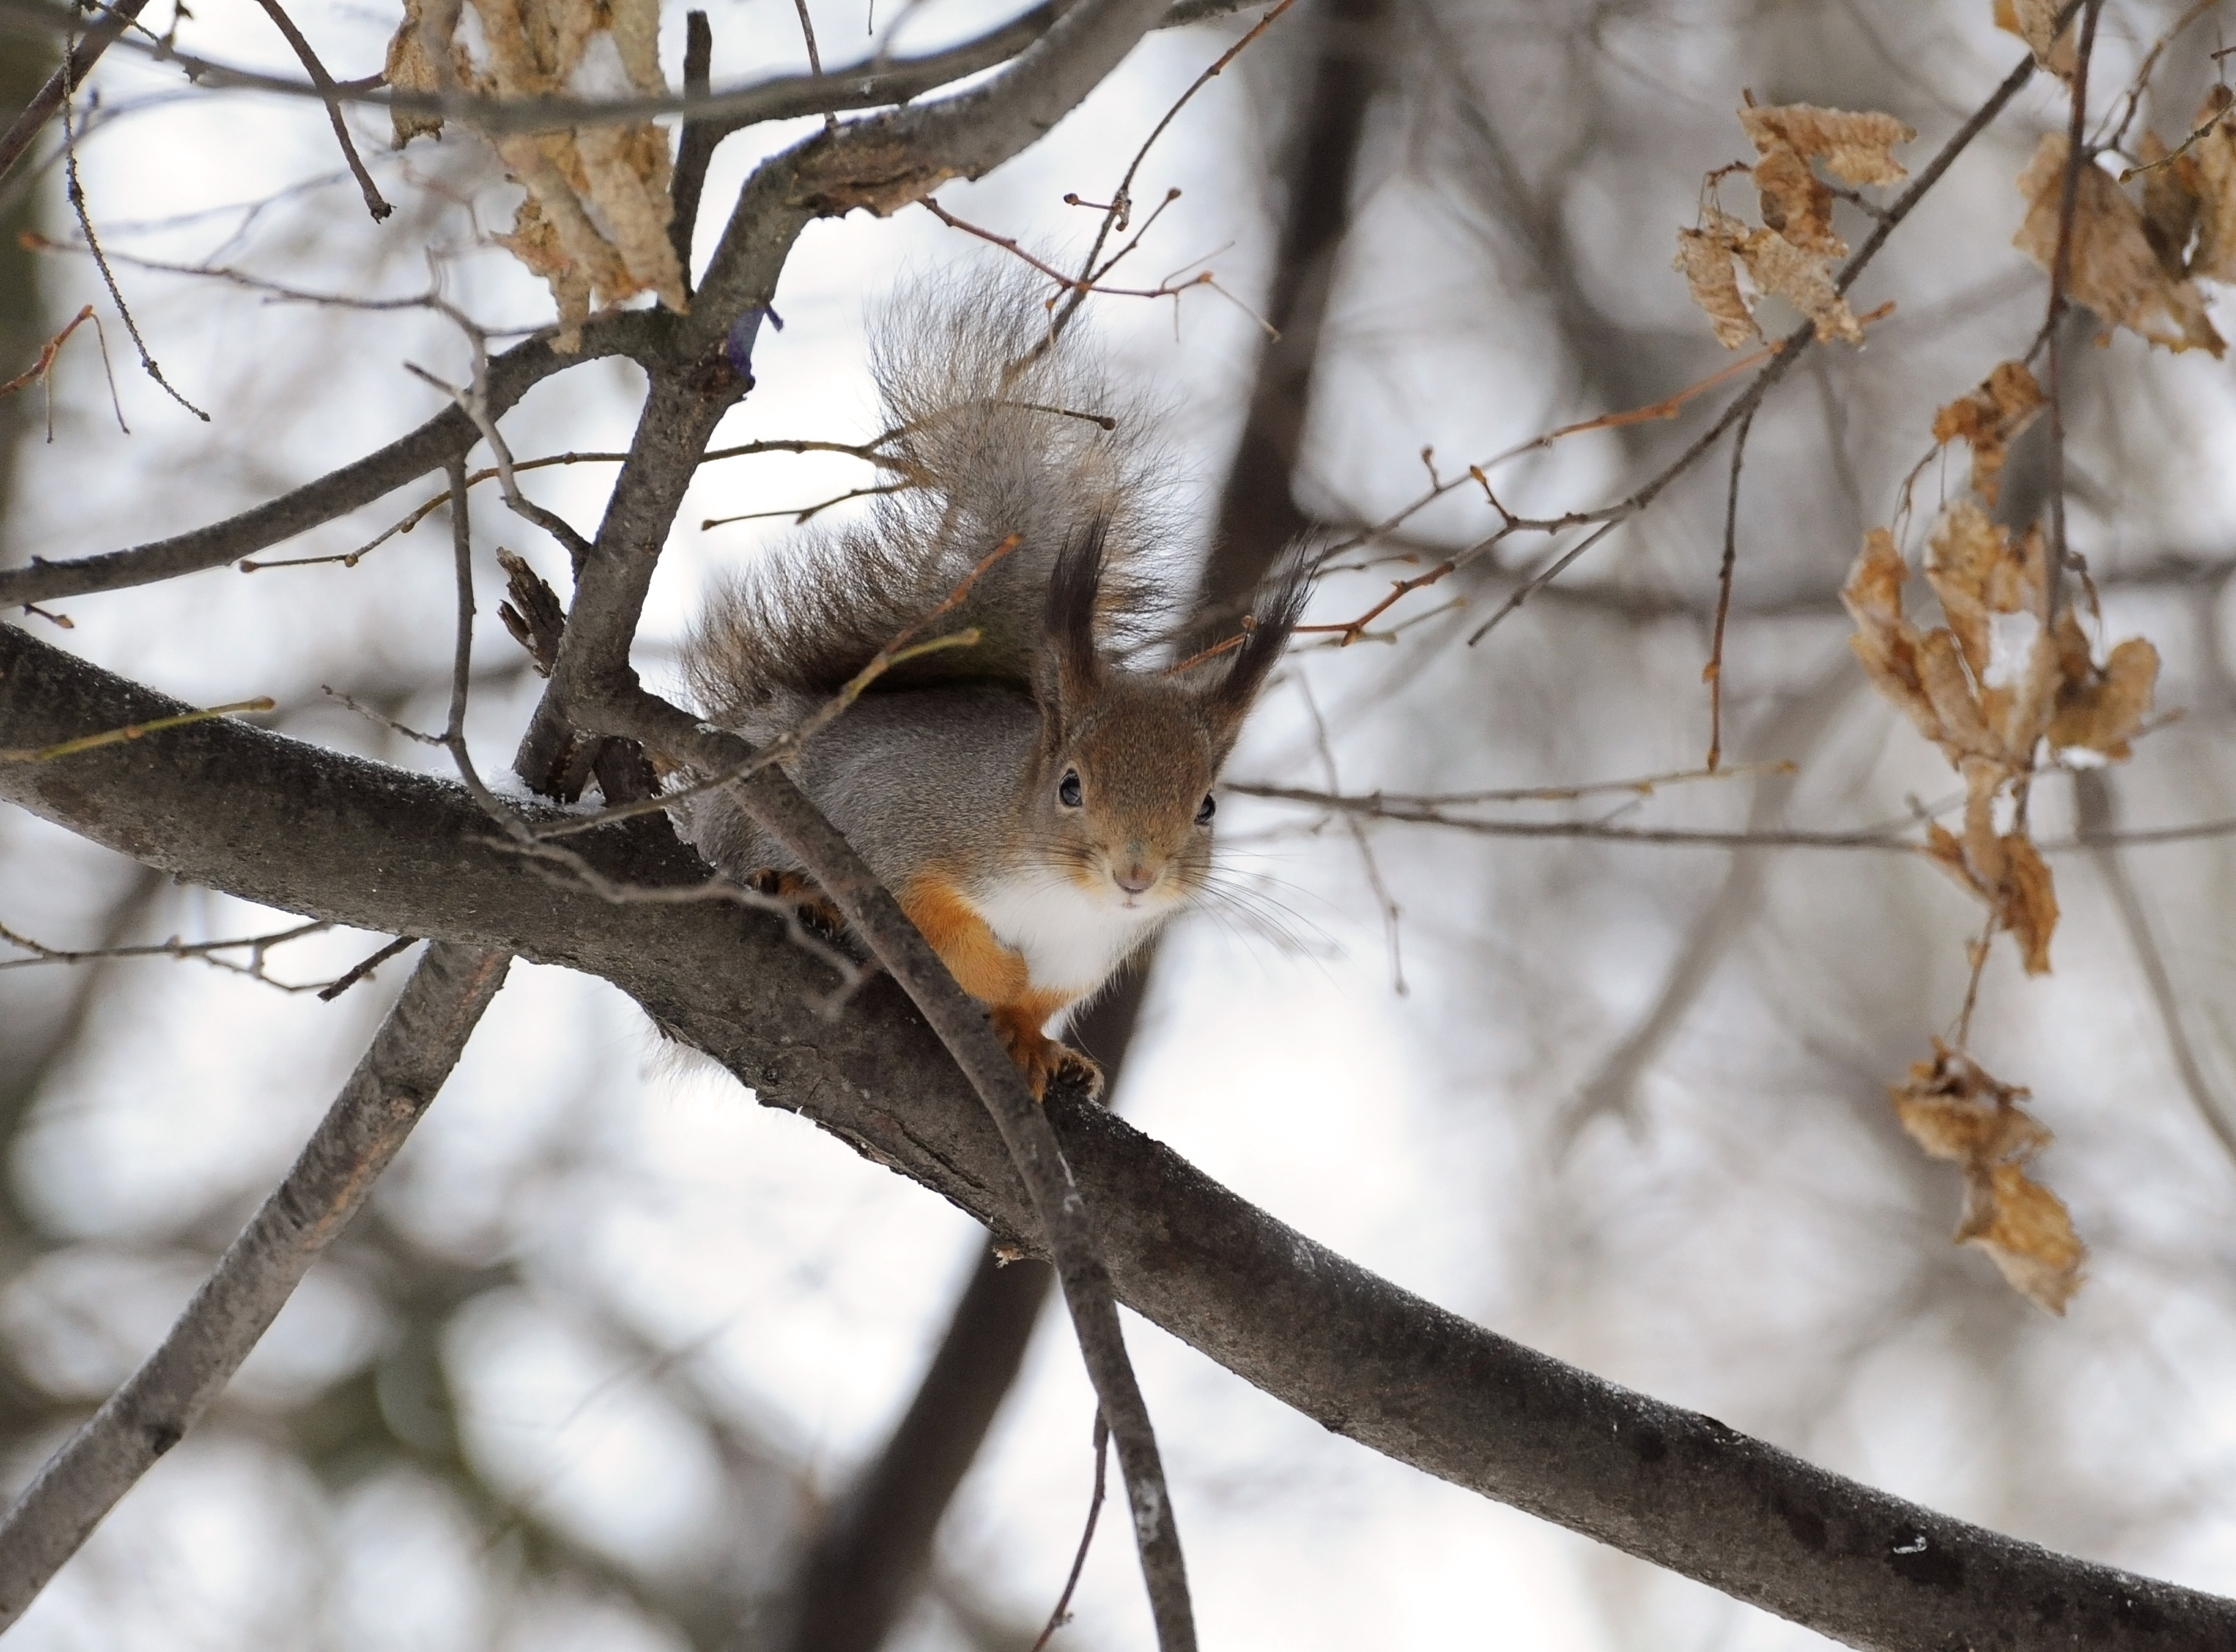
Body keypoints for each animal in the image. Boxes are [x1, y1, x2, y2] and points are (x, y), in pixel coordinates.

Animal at [680, 268, 1306, 1099]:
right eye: (1069, 786)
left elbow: (1043, 1000)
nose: (1136, 875)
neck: (1065, 900)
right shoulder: (900, 820)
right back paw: (797, 891)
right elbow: (934, 924)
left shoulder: (1088, 957)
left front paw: (1030, 1035)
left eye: (1207, 806)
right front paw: (998, 975)